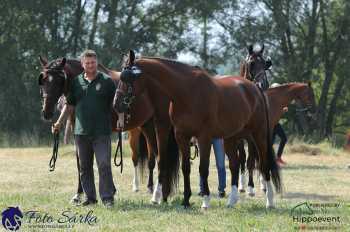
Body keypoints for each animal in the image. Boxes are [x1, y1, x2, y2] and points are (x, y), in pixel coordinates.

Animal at [37, 57, 180, 204]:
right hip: (147, 127)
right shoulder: (79, 134)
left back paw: (160, 194)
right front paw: (78, 195)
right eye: (43, 80)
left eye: (59, 80)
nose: (46, 112)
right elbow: (80, 163)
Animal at [117, 51, 282, 210]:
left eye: (127, 77)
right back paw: (232, 200)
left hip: (258, 135)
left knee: (264, 164)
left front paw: (205, 201)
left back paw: (270, 201)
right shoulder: (181, 136)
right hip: (231, 138)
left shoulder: (204, 138)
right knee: (234, 165)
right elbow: (185, 167)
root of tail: (256, 89)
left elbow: (203, 168)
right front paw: (185, 200)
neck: (186, 92)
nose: (116, 103)